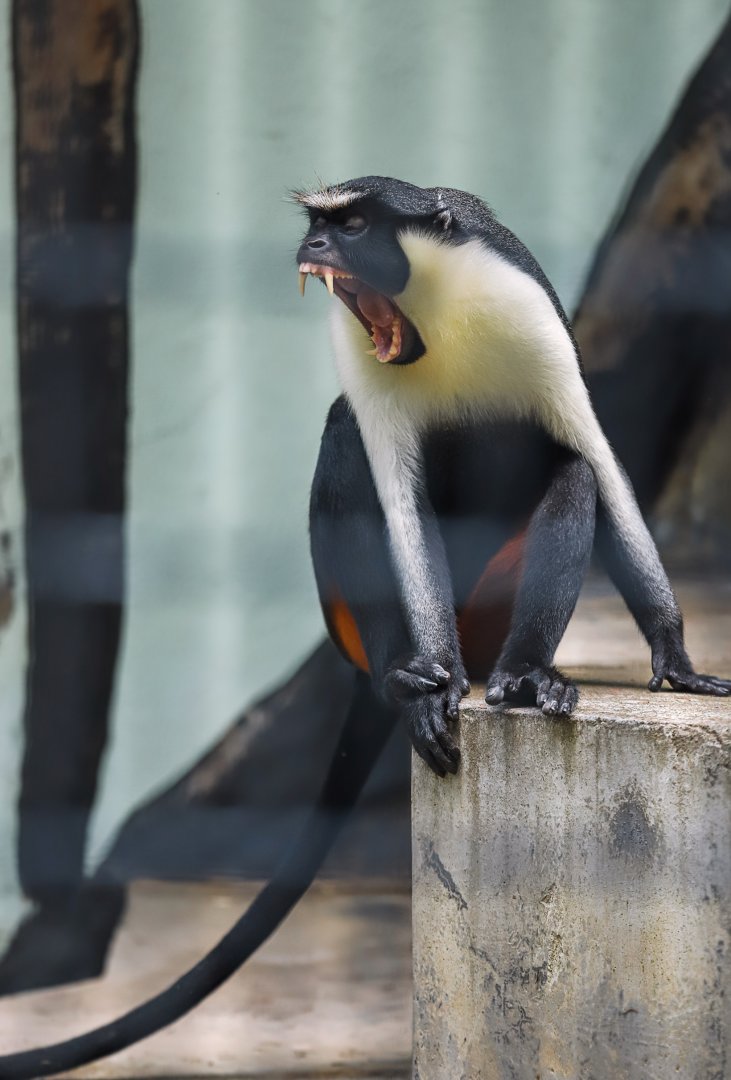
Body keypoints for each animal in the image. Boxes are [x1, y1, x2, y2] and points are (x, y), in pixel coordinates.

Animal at [1, 176, 728, 1079]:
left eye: (349, 224)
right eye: (318, 224)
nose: (313, 248)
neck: (432, 307)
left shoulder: (529, 314)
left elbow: (593, 460)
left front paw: (673, 655)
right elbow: (395, 499)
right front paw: (431, 684)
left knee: (567, 473)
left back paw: (526, 674)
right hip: (349, 611)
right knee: (345, 439)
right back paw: (407, 678)